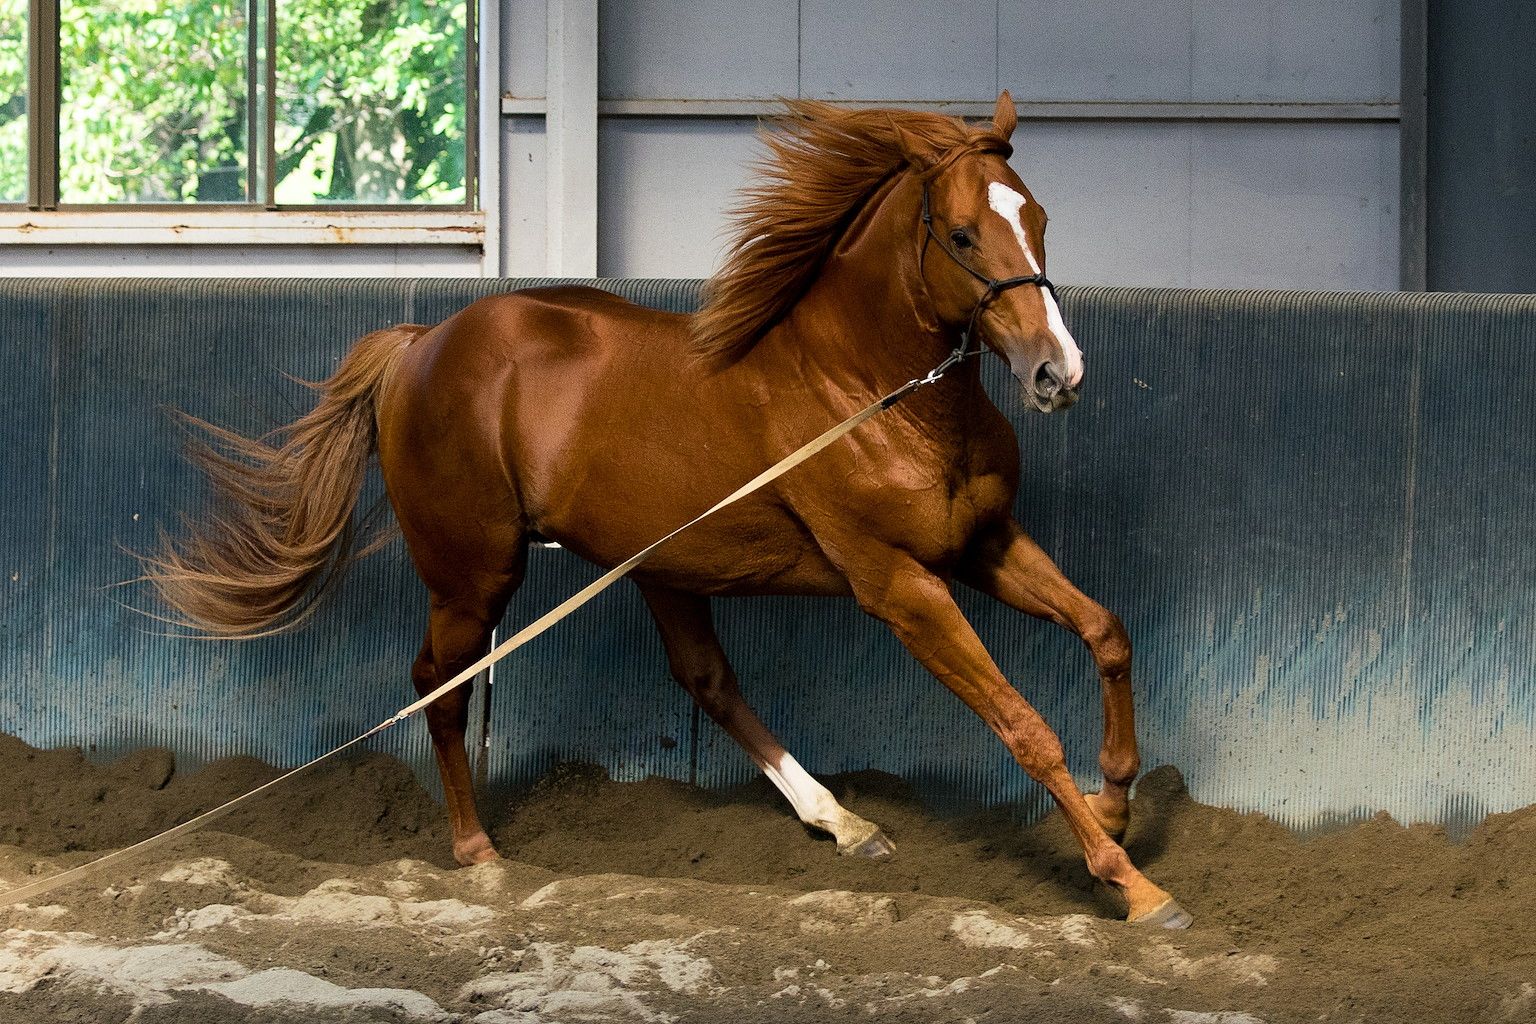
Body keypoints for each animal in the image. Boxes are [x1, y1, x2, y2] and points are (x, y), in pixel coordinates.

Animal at [144, 94, 1191, 927]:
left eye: (1040, 217)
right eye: (965, 234)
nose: (1059, 373)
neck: (868, 392)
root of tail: (420, 343)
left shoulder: (984, 545)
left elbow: (1106, 631)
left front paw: (1118, 803)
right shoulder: (899, 584)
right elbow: (1023, 725)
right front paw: (1133, 885)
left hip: (658, 567)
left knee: (707, 682)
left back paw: (844, 823)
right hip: (475, 574)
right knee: (439, 684)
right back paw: (477, 853)